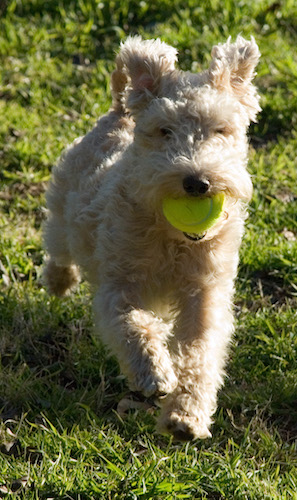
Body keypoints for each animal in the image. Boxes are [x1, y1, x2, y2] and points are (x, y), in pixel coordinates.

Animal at [43, 36, 260, 442]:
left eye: (220, 130)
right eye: (164, 130)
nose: (197, 182)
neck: (172, 240)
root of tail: (119, 112)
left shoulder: (205, 291)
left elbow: (199, 350)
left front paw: (185, 416)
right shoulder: (119, 284)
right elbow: (134, 325)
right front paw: (155, 374)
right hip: (63, 212)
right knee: (58, 247)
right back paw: (58, 281)